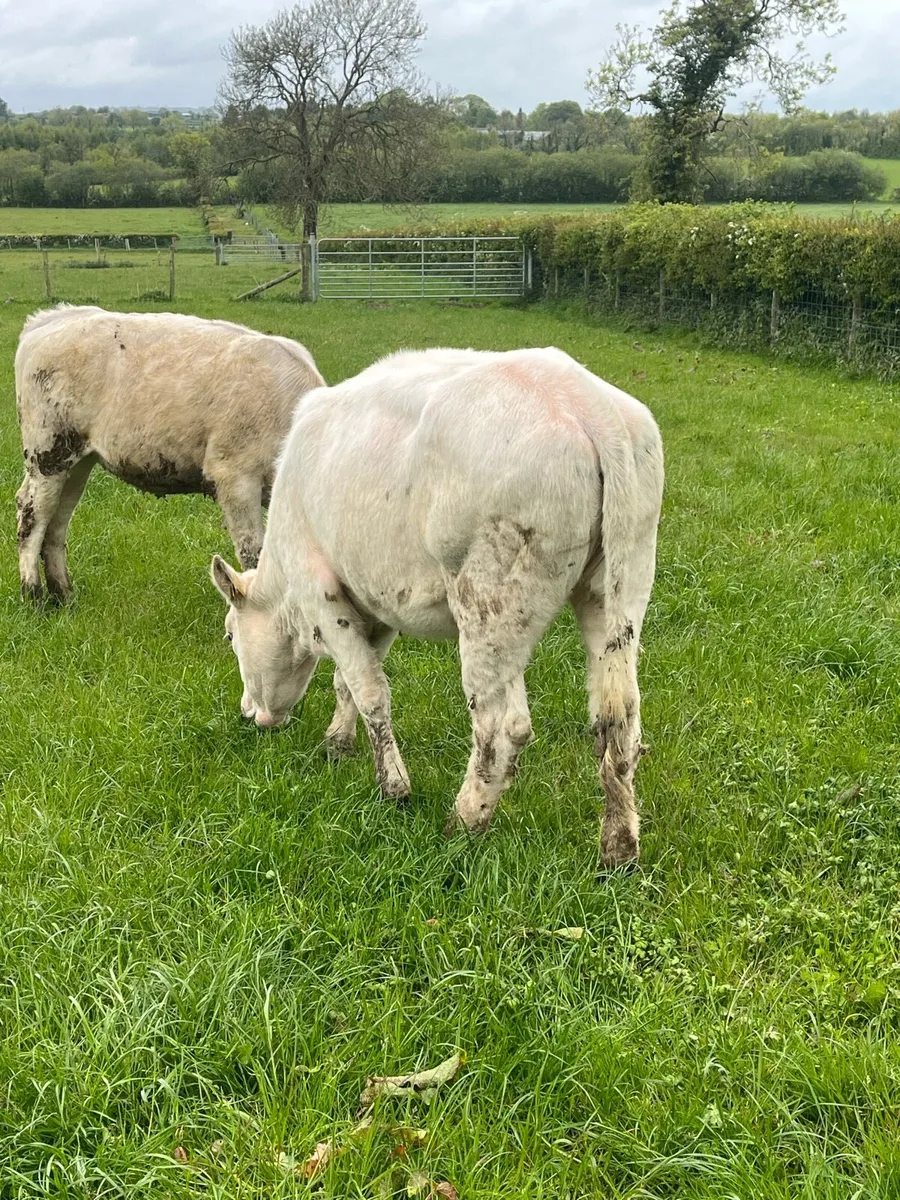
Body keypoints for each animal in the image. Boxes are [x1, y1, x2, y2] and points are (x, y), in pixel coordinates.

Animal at [15, 305, 324, 602]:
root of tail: (51, 319)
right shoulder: (235, 478)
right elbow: (253, 555)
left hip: (77, 461)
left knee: (57, 521)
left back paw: (63, 595)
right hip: (47, 452)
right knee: (32, 513)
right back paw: (34, 594)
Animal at [210, 347, 664, 866]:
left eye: (230, 635)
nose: (250, 713)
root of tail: (588, 404)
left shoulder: (320, 592)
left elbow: (368, 691)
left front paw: (393, 789)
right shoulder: (377, 602)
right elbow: (349, 683)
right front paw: (337, 743)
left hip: (489, 601)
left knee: (502, 727)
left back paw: (462, 827)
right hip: (619, 585)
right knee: (620, 717)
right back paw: (619, 849)